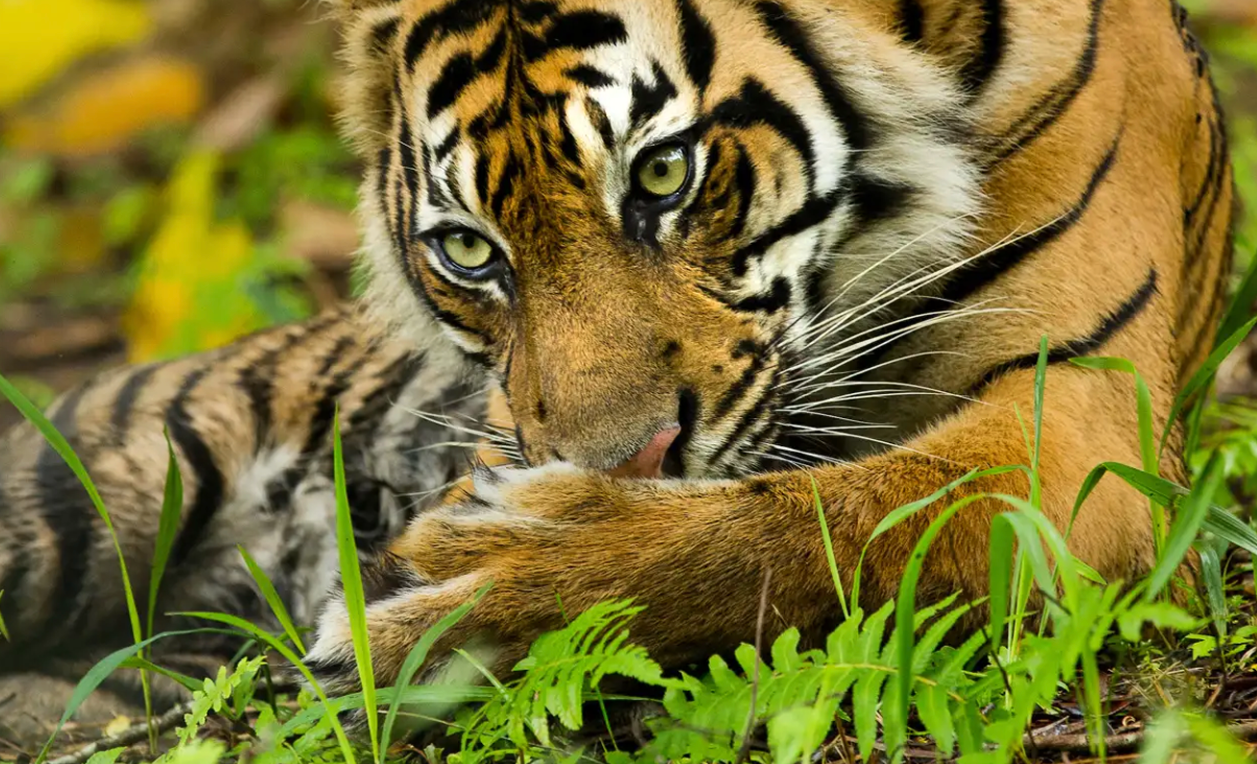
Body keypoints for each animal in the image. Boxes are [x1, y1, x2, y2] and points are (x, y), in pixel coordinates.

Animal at [0, 0, 1234, 745]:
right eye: (468, 251)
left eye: (664, 173)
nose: (629, 460)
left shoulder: (1075, 429)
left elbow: (803, 527)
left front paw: (467, 590)